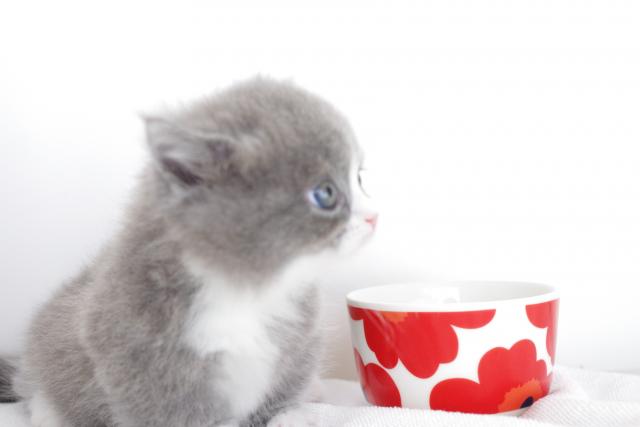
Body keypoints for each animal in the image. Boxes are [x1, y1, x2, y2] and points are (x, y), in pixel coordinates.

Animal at [0, 77, 377, 427]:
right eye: (325, 194)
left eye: (359, 179)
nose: (373, 216)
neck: (246, 291)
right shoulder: (133, 359)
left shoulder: (299, 341)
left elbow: (284, 384)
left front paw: (286, 416)